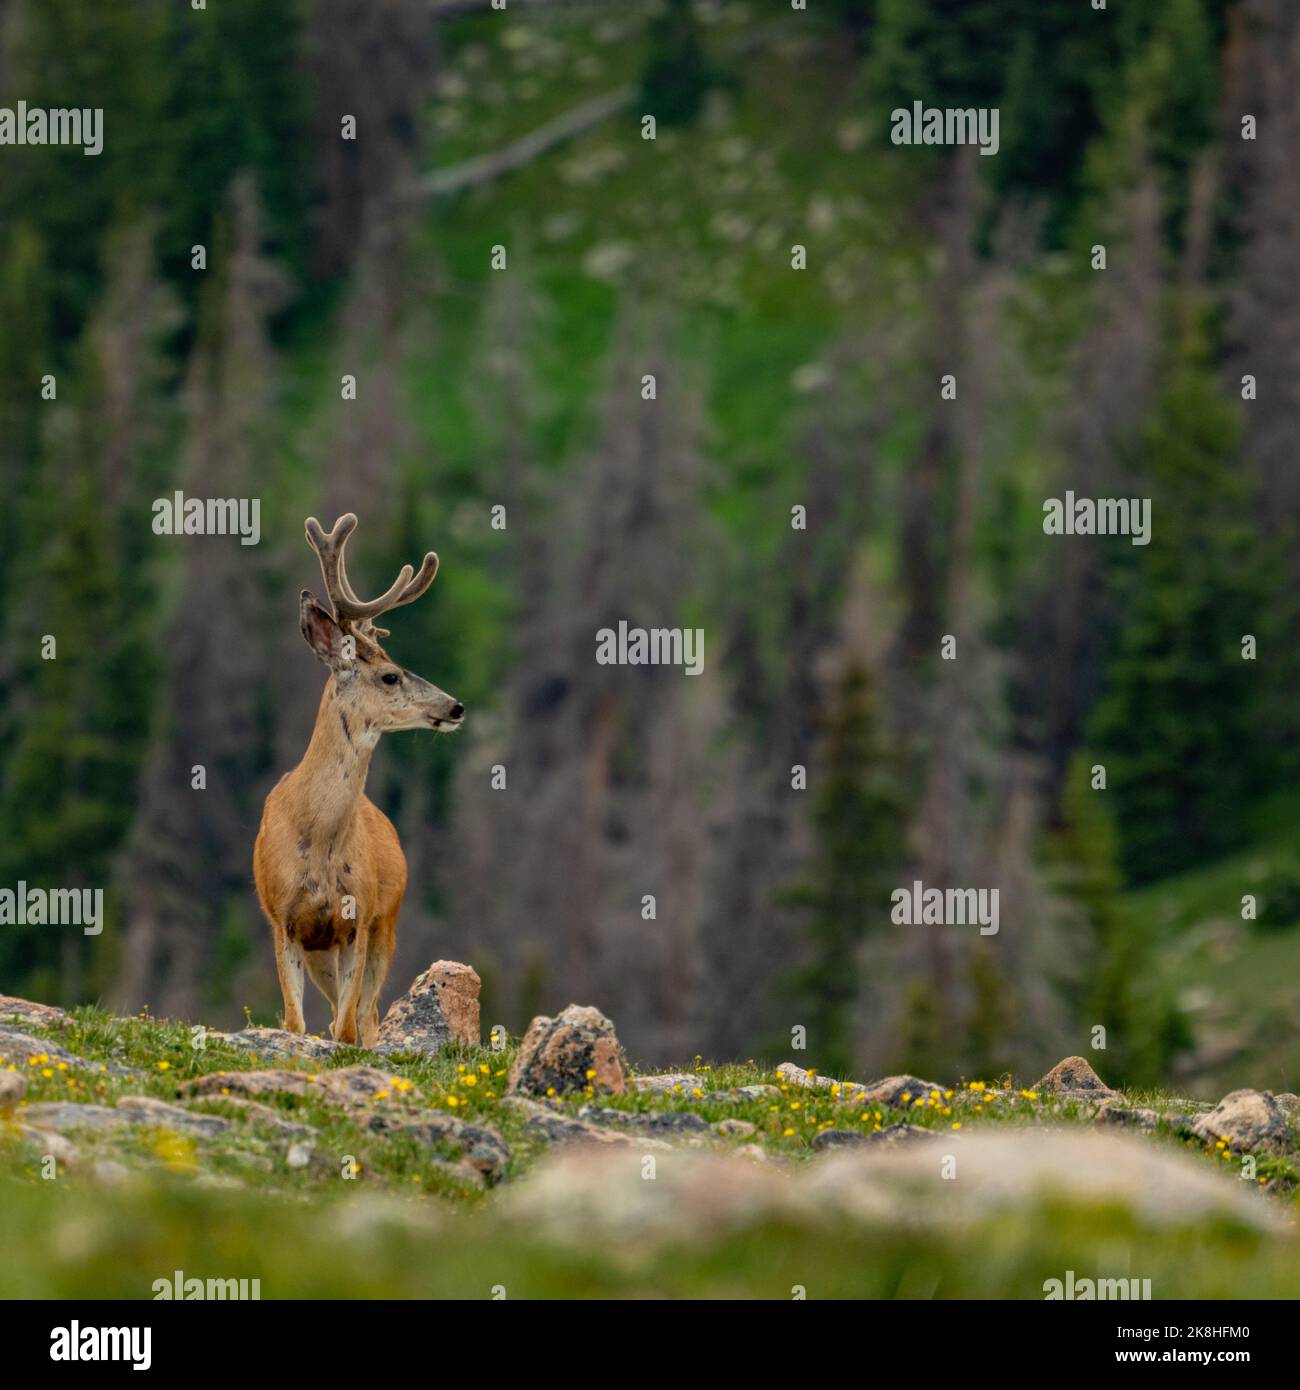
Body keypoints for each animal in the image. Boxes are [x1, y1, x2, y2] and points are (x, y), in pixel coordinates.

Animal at [253, 513, 463, 1047]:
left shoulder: (359, 920)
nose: (456, 706)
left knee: (366, 1018)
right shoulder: (282, 920)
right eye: (391, 675)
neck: (317, 839)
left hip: (386, 926)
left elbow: (347, 1029)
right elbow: (295, 1023)